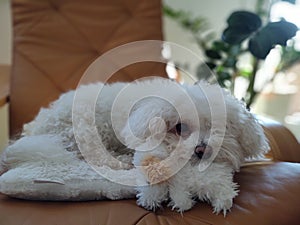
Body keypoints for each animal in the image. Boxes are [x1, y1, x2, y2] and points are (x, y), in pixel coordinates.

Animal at [0, 77, 270, 214]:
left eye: (223, 127)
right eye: (179, 127)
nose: (202, 150)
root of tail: (37, 126)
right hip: (84, 125)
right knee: (93, 155)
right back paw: (120, 159)